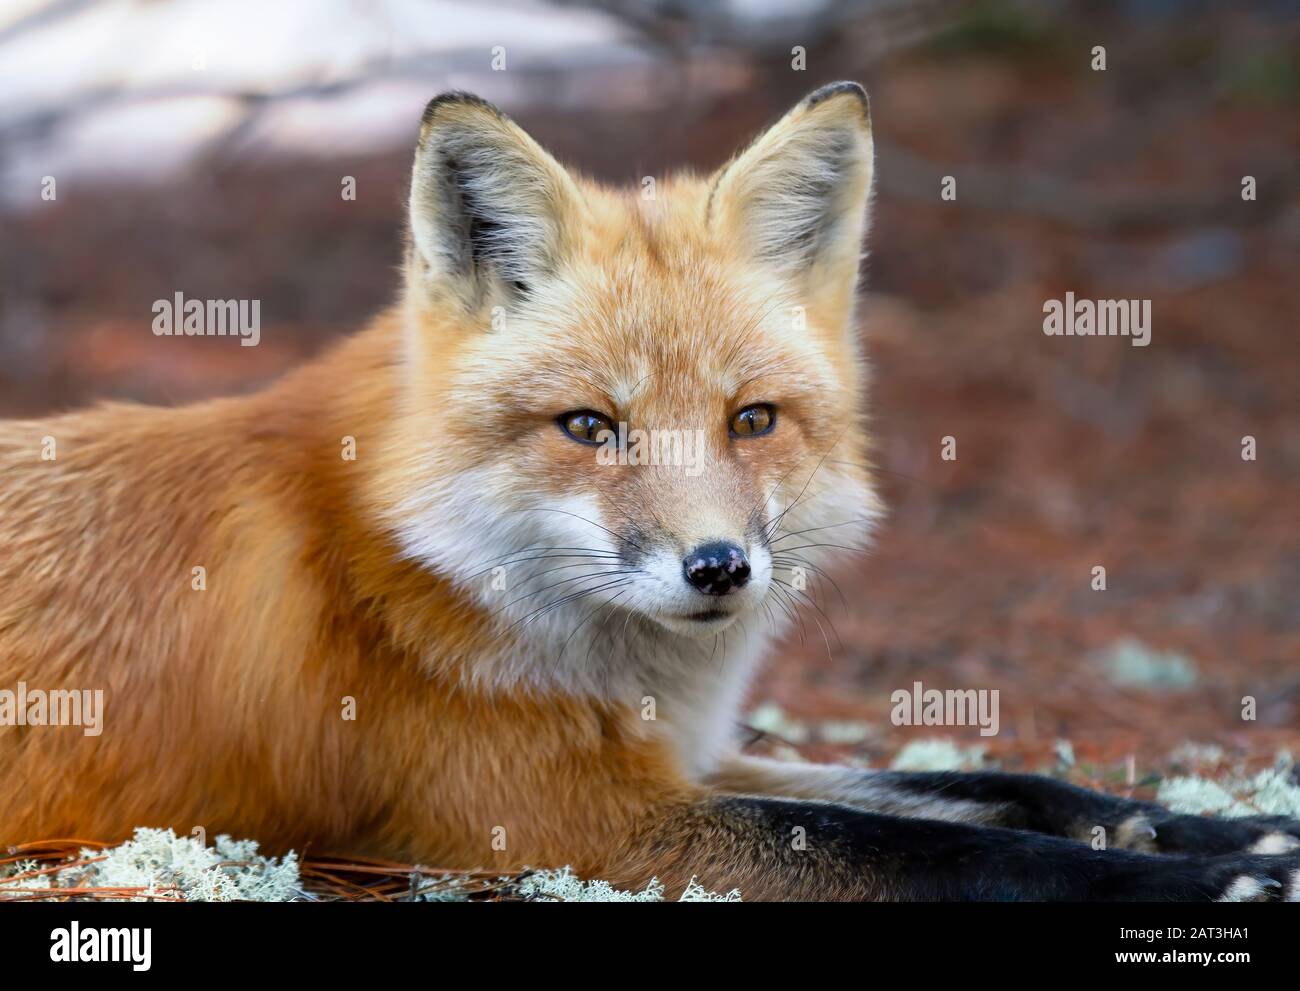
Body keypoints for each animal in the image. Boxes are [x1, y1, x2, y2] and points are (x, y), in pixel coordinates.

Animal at [2, 82, 1298, 901]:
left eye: (750, 420)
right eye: (591, 427)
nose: (719, 568)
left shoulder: (680, 756)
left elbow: (983, 788)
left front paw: (1228, 829)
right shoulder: (564, 818)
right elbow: (918, 847)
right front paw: (1205, 877)